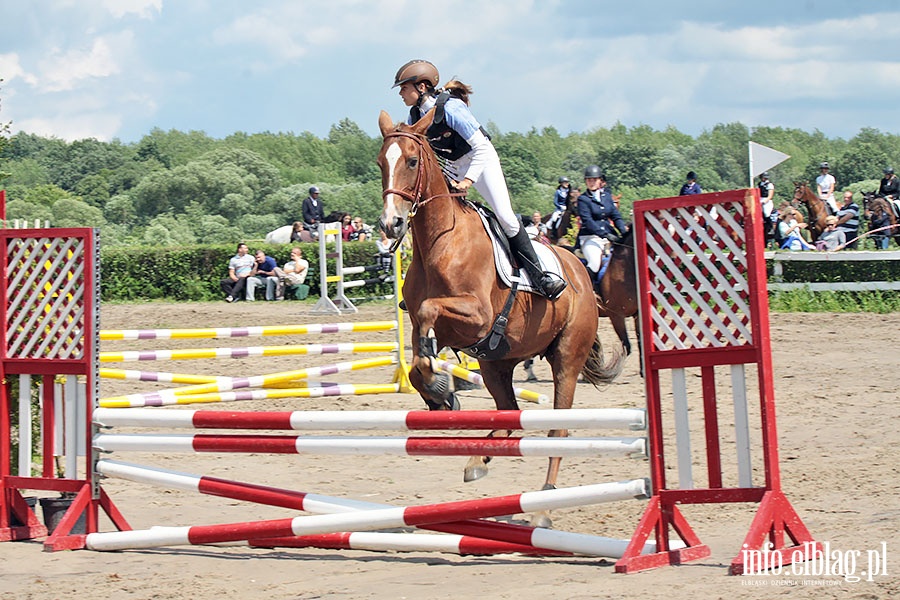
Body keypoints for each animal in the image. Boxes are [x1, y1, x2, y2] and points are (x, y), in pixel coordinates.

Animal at [376, 110, 624, 528]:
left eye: (410, 161)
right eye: (381, 163)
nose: (390, 225)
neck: (439, 241)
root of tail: (579, 272)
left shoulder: (477, 316)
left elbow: (429, 314)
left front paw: (441, 389)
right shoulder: (452, 332)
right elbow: (417, 360)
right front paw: (441, 395)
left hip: (566, 359)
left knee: (557, 428)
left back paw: (544, 505)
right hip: (496, 363)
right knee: (511, 414)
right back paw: (478, 460)